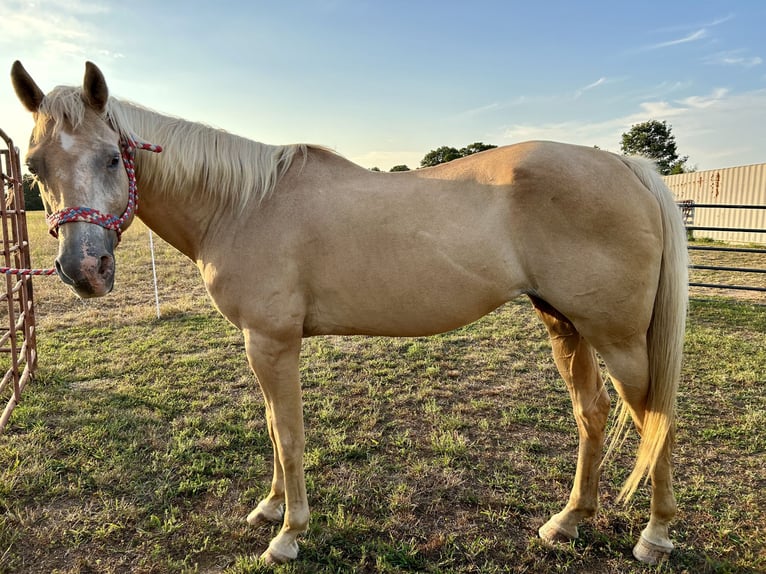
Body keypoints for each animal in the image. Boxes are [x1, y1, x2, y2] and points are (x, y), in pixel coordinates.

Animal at [10, 61, 687, 565]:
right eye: (34, 167)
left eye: (109, 157)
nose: (84, 269)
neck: (242, 205)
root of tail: (624, 164)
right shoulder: (262, 344)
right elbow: (271, 425)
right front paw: (271, 508)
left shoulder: (272, 341)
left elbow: (288, 434)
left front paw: (287, 535)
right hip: (564, 325)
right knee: (593, 414)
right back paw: (568, 521)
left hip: (620, 340)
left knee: (658, 420)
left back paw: (654, 536)